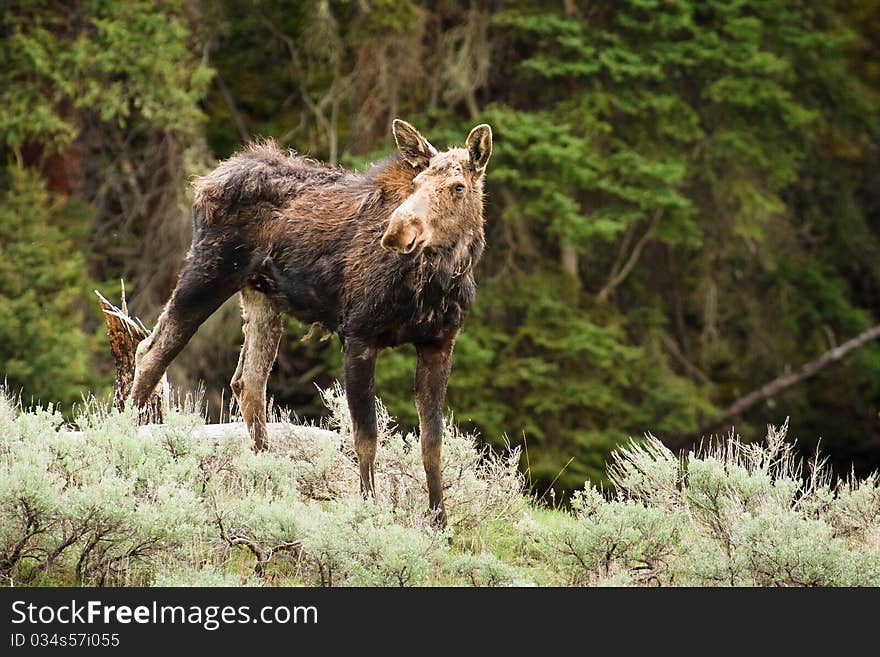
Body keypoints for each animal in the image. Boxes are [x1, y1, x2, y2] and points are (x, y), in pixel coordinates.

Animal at [128, 119, 492, 528]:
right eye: (416, 184)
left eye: (458, 186)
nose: (398, 232)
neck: (436, 280)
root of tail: (205, 182)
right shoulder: (358, 334)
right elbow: (366, 435)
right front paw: (369, 510)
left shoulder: (439, 342)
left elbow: (432, 441)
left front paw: (440, 521)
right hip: (208, 271)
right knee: (151, 351)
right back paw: (122, 444)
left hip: (261, 296)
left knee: (248, 381)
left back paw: (265, 481)